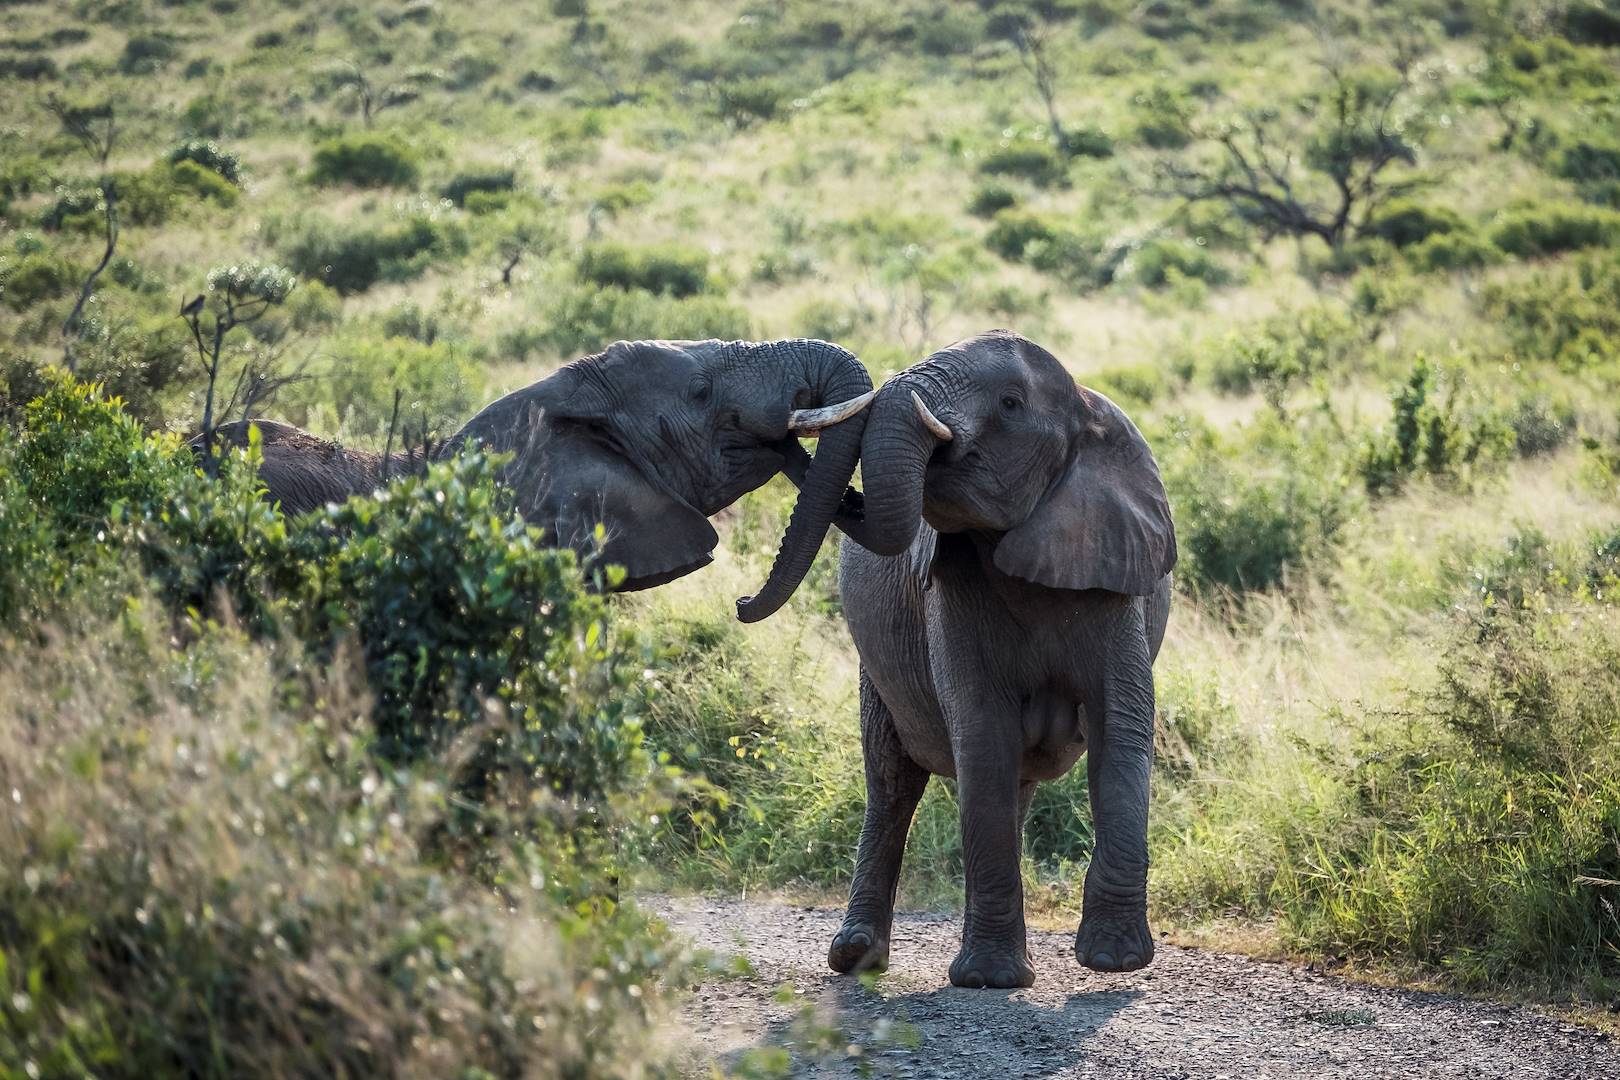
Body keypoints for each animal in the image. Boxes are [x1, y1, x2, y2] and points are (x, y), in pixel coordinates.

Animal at [824, 329, 1177, 989]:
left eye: (1011, 404)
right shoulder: (951, 584)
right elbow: (983, 733)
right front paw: (991, 980)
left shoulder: (1113, 574)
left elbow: (1120, 728)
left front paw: (1114, 962)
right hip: (876, 670)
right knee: (892, 781)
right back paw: (856, 960)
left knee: (1010, 784)